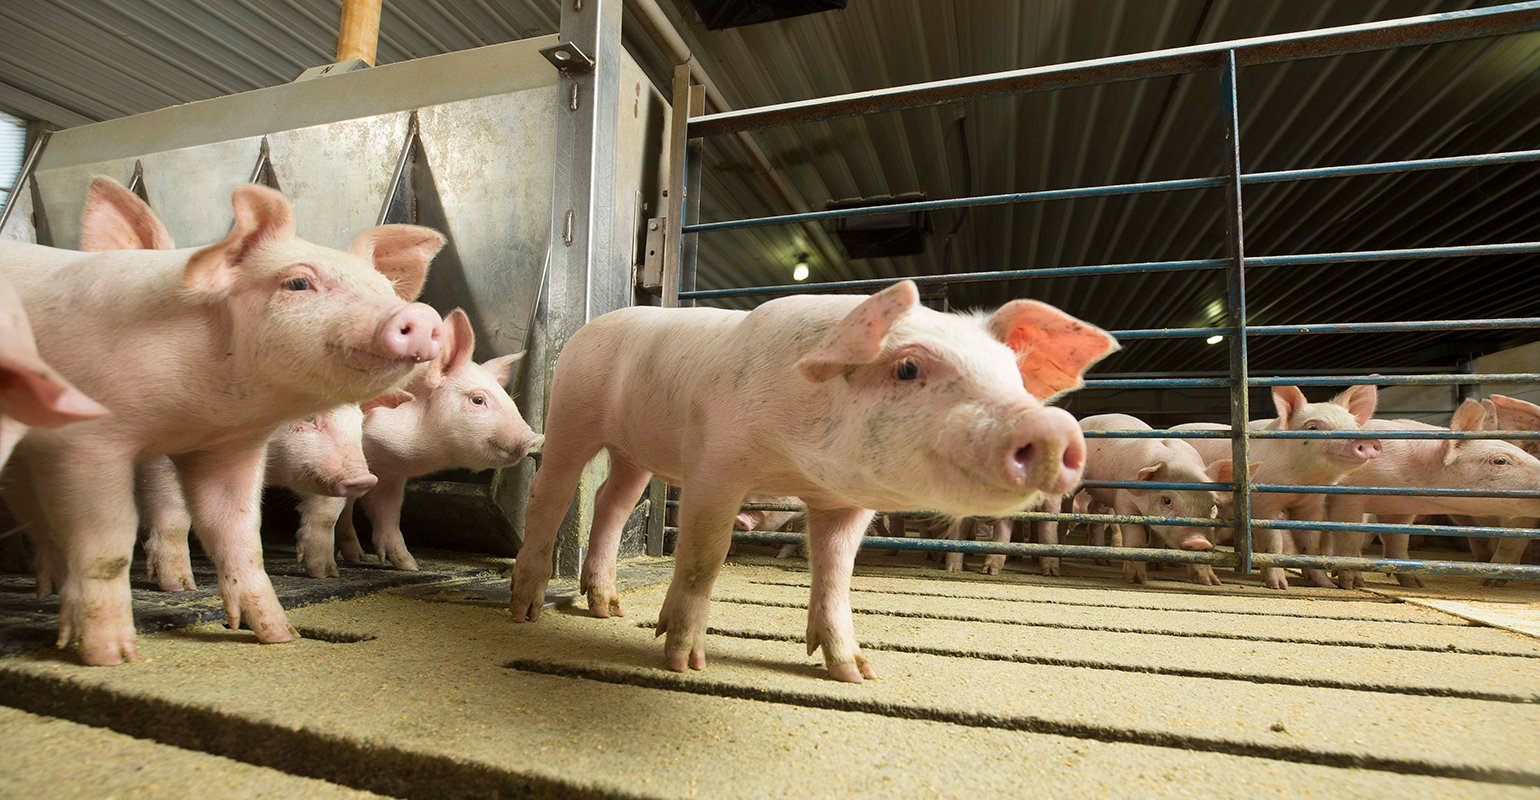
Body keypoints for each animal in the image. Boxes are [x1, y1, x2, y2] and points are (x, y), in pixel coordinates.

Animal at [0, 176, 444, 665]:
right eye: (298, 282)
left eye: (386, 288)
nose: (422, 315)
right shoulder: (88, 441)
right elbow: (118, 539)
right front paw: (122, 646)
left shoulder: (226, 448)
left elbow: (240, 535)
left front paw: (283, 632)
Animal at [508, 280, 1117, 682]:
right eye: (908, 368)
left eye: (1013, 375)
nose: (1053, 426)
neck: (794, 462)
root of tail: (591, 326)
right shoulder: (714, 464)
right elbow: (705, 556)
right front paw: (685, 665)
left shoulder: (847, 501)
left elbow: (836, 570)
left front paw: (858, 673)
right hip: (572, 409)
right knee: (551, 494)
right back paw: (525, 611)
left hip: (635, 453)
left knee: (611, 501)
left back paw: (607, 609)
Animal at [1079, 413, 1236, 586]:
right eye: (1167, 501)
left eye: (1212, 506)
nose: (1198, 540)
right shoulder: (1123, 500)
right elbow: (1136, 537)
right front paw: (1136, 580)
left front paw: (1211, 582)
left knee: (1096, 511)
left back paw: (1104, 561)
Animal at [1176, 385, 1380, 590]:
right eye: (1312, 428)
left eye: (1354, 426)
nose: (1367, 442)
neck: (1301, 482)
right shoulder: (1263, 502)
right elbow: (1273, 542)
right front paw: (1279, 586)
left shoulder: (1311, 504)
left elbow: (1310, 543)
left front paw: (1326, 584)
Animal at [1325, 399, 1540, 589]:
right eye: (1500, 461)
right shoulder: (1346, 495)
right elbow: (1349, 537)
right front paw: (1353, 584)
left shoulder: (1398, 508)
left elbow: (1398, 543)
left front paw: (1415, 584)